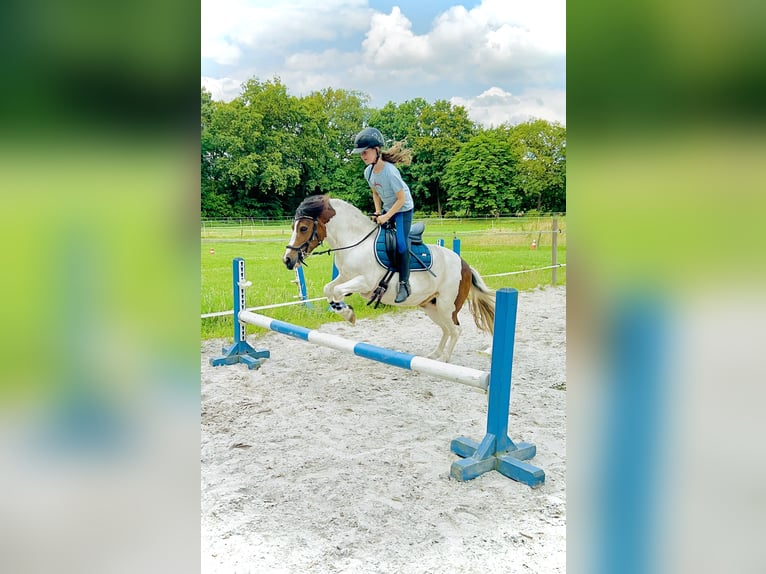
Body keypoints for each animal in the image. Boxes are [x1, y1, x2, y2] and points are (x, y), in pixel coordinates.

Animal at [284, 196, 498, 362]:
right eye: (294, 226)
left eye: (303, 228)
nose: (287, 260)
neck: (355, 242)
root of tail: (465, 265)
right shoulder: (345, 276)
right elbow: (329, 289)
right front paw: (343, 310)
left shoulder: (366, 283)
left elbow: (336, 290)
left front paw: (348, 314)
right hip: (432, 306)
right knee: (447, 330)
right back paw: (434, 355)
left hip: (447, 306)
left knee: (455, 330)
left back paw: (444, 360)